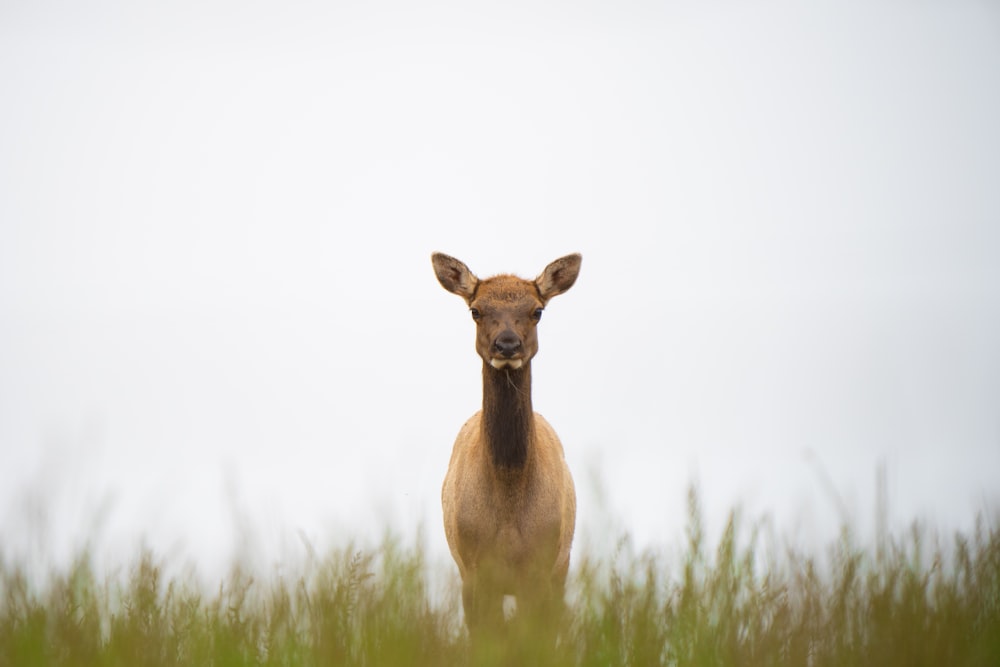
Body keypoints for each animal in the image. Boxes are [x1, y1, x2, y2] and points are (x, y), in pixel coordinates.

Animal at [428, 252, 580, 648]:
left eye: (537, 310)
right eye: (475, 310)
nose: (507, 345)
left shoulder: (543, 568)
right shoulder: (473, 570)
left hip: (562, 565)